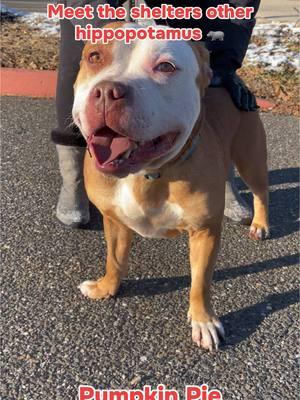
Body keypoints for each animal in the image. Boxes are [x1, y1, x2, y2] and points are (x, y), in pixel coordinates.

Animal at [71, 21, 268, 350]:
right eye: (94, 56)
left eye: (165, 66)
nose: (107, 91)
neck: (148, 174)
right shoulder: (114, 221)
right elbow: (114, 260)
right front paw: (107, 287)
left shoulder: (204, 232)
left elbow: (200, 282)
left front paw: (203, 320)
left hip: (252, 159)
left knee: (260, 192)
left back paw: (260, 223)